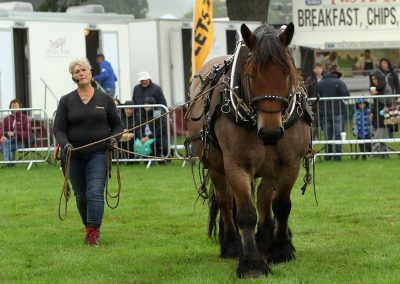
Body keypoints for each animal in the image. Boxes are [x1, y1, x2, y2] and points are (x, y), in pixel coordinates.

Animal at [186, 23, 314, 278]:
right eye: (251, 75)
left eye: (288, 73)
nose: (271, 132)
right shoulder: (237, 166)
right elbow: (245, 213)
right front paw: (252, 264)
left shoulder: (289, 164)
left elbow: (281, 205)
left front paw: (281, 249)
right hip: (216, 167)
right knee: (226, 201)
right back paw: (232, 244)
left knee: (264, 198)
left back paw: (265, 239)